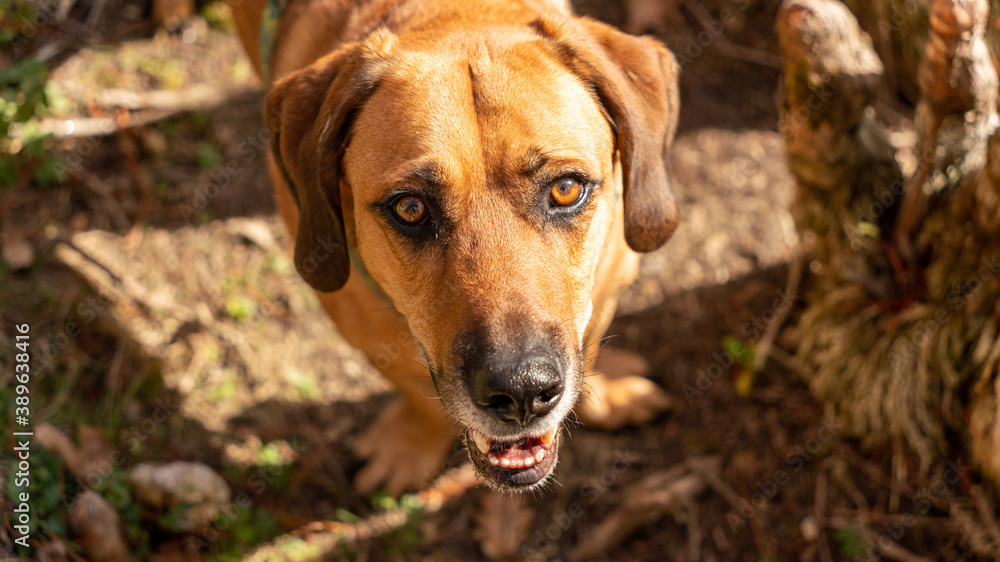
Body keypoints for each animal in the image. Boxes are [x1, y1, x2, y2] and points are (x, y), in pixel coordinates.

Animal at [227, 0, 680, 490]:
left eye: (565, 189)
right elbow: (414, 390)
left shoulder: (609, 281)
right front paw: (408, 446)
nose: (521, 391)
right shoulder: (358, 322)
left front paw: (608, 394)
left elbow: (590, 343)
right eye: (410, 208)